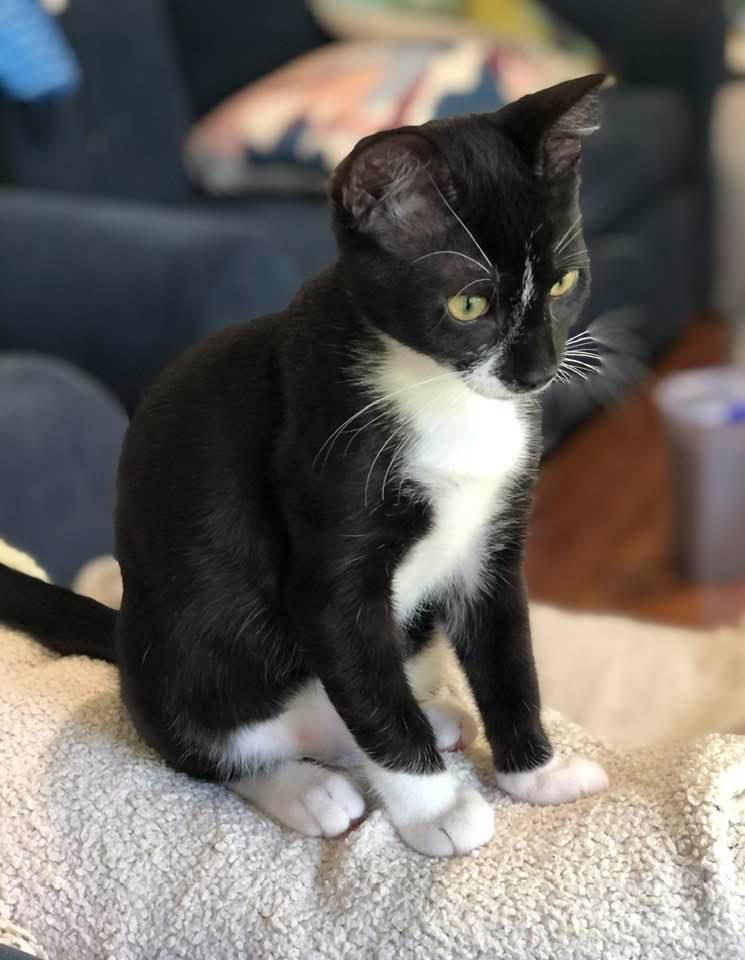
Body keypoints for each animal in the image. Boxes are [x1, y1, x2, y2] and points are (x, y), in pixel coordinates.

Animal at [0, 74, 609, 857]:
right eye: (468, 303)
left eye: (564, 285)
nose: (536, 372)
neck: (439, 391)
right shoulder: (323, 524)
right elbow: (361, 673)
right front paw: (437, 810)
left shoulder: (492, 544)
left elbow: (508, 659)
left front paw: (536, 775)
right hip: (177, 658)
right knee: (211, 749)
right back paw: (304, 789)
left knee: (356, 705)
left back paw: (430, 723)